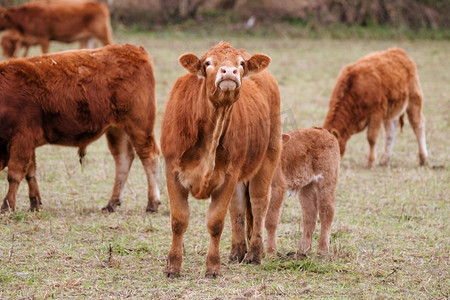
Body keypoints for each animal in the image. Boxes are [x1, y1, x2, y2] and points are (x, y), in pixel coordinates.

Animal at [0, 44, 161, 213]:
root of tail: (133, 49)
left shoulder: (22, 139)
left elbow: (14, 174)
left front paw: (7, 205)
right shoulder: (28, 143)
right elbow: (30, 173)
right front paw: (34, 203)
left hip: (139, 127)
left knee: (149, 156)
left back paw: (152, 203)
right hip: (117, 130)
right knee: (123, 159)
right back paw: (112, 203)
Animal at [264, 127, 342, 256]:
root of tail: (324, 131)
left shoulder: (277, 186)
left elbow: (271, 220)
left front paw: (271, 252)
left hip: (327, 180)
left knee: (326, 211)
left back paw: (322, 250)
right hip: (306, 187)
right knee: (309, 214)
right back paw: (304, 250)